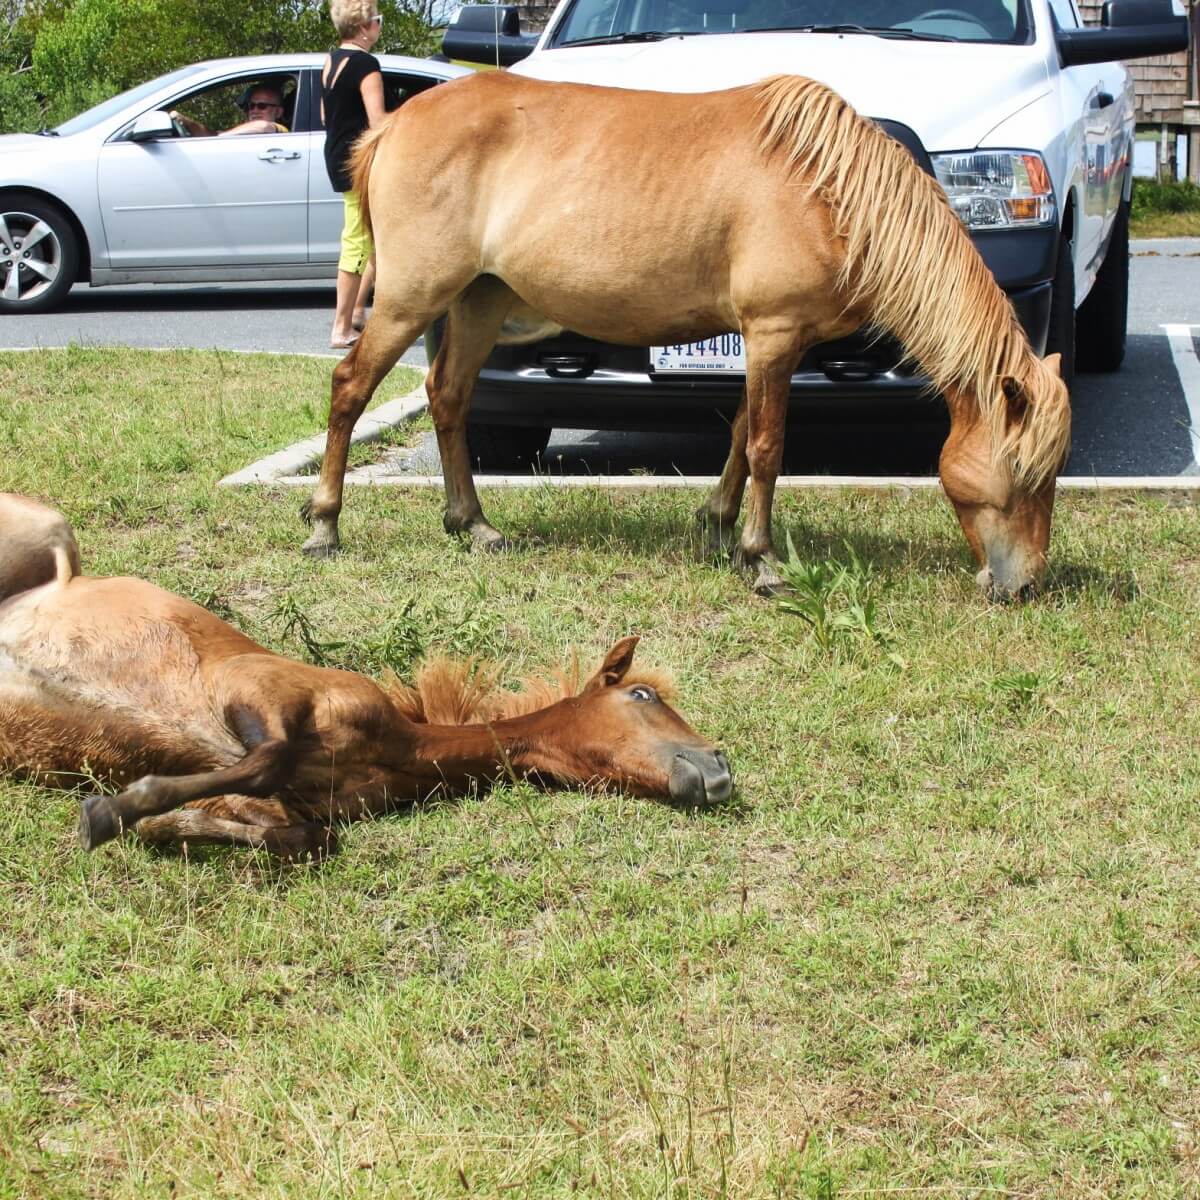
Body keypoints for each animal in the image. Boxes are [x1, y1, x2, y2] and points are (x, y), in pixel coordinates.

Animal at [0, 495, 731, 861]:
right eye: (642, 695)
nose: (720, 766)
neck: (396, 746)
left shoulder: (281, 802)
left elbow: (297, 833)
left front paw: (134, 818)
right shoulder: (256, 688)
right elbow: (266, 760)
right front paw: (108, 812)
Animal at [299, 72, 1070, 600]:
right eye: (1025, 473)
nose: (1025, 585)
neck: (829, 188)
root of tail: (394, 125)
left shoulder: (771, 342)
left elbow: (740, 434)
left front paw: (721, 528)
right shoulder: (774, 331)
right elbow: (767, 447)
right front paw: (763, 560)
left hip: (479, 303)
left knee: (450, 397)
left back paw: (475, 524)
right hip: (412, 300)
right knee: (350, 388)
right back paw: (325, 525)